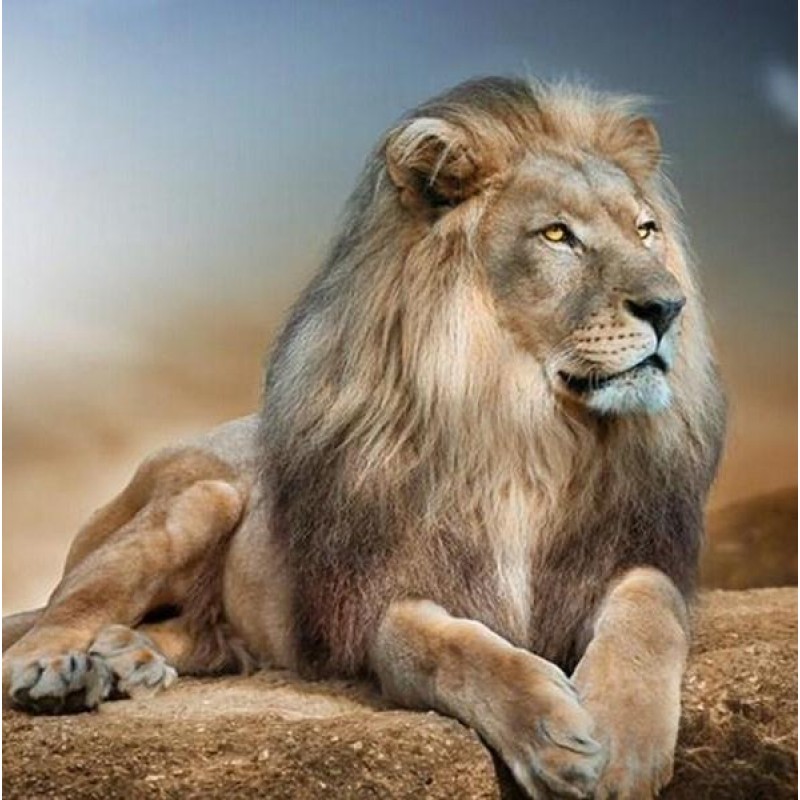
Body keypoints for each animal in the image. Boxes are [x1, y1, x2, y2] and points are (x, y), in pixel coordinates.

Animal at [3, 76, 725, 799]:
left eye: (646, 230)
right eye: (557, 234)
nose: (669, 308)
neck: (525, 431)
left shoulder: (624, 552)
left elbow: (650, 606)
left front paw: (624, 742)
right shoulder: (380, 595)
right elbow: (442, 647)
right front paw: (551, 732)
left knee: (198, 633)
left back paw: (129, 657)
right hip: (198, 498)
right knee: (54, 615)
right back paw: (60, 670)